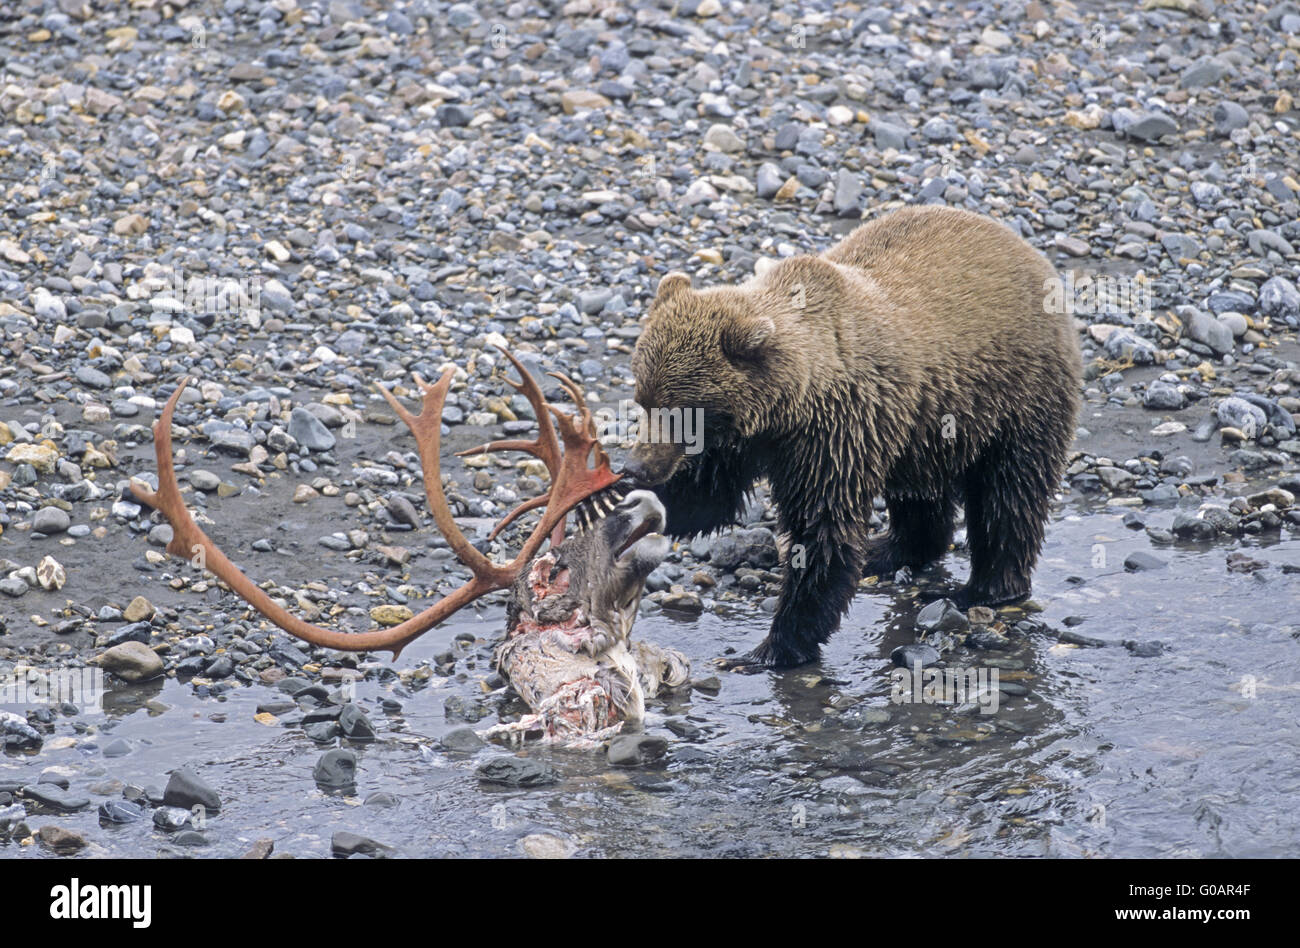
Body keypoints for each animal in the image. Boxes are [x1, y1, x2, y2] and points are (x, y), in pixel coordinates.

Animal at [624, 206, 1081, 665]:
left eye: (680, 411)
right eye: (643, 400)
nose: (637, 465)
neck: (783, 410)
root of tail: (1027, 250)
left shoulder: (835, 432)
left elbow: (823, 531)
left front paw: (770, 649)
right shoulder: (744, 442)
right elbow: (708, 499)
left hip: (1016, 395)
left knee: (1008, 495)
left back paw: (981, 589)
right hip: (927, 424)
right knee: (921, 490)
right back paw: (890, 549)